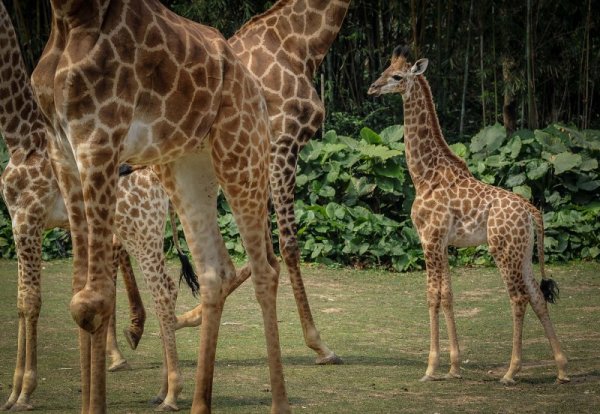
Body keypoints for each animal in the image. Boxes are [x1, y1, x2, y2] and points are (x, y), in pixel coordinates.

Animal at [33, 0, 290, 414]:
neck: (70, 17)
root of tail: (255, 88)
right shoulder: (63, 150)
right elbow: (78, 294)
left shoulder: (99, 139)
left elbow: (93, 300)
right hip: (186, 165)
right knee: (215, 271)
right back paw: (199, 404)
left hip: (242, 152)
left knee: (265, 269)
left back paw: (279, 404)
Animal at [175, 0, 352, 366]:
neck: (301, 44)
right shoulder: (283, 142)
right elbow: (288, 245)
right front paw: (319, 344)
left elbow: (264, 252)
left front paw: (188, 317)